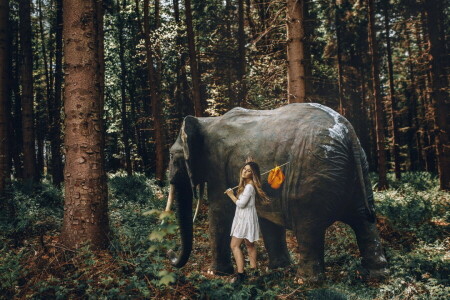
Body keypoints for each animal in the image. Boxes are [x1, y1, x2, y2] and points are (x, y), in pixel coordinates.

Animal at [167, 102, 388, 282]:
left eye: (171, 155)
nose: (170, 254)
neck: (207, 121)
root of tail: (348, 132)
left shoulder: (217, 164)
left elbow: (220, 212)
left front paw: (217, 273)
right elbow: (267, 218)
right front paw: (279, 268)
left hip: (314, 173)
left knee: (309, 227)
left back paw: (305, 281)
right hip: (357, 172)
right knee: (364, 219)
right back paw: (377, 274)